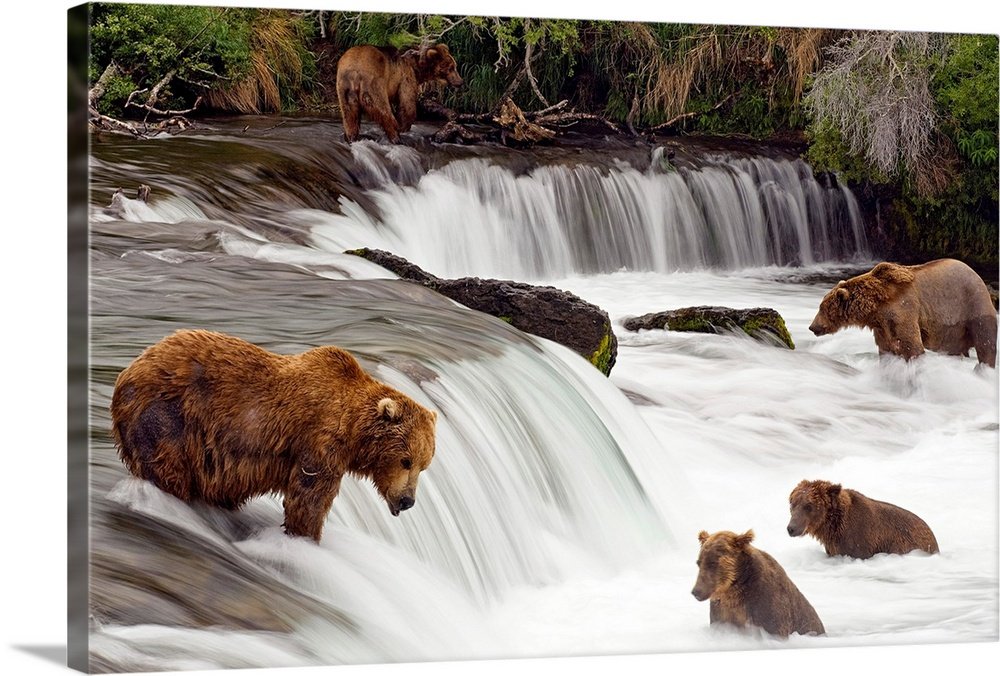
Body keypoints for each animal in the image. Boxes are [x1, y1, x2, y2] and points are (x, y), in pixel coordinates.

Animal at [110, 329, 437, 542]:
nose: (407, 500)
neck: (353, 428)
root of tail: (128, 370)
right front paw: (306, 538)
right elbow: (309, 498)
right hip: (167, 415)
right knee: (168, 467)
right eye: (405, 460)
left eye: (423, 465)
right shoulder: (319, 443)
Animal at [808, 258, 996, 368]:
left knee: (985, 343)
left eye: (821, 308)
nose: (812, 327)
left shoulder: (902, 310)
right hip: (954, 330)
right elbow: (886, 349)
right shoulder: (882, 326)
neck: (876, 308)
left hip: (973, 304)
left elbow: (911, 346)